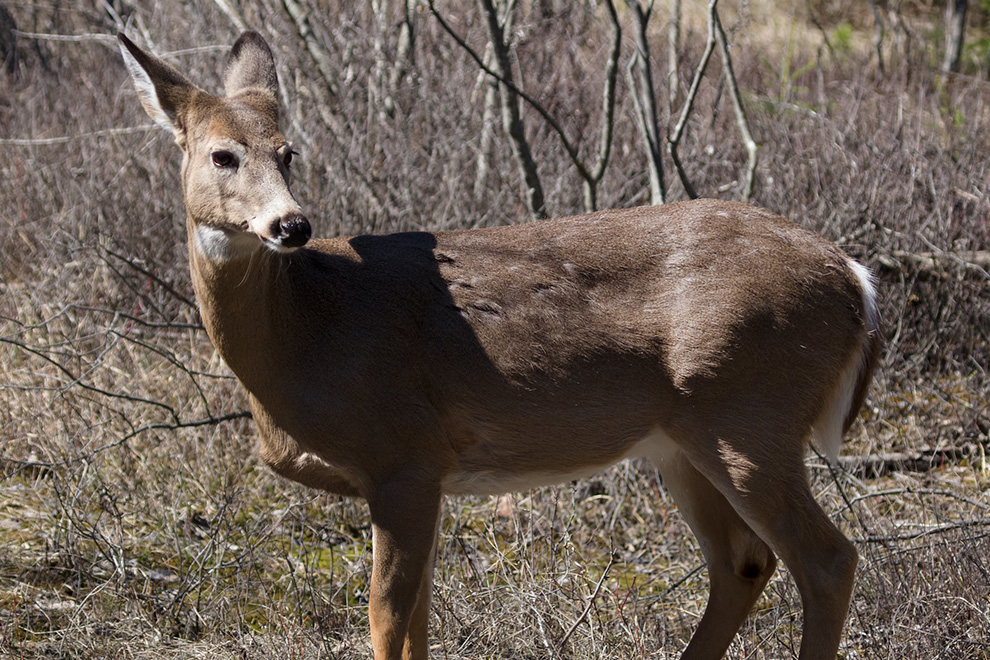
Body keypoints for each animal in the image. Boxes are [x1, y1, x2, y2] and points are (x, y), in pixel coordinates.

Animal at [118, 29, 884, 660]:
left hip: (748, 414)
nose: (291, 225)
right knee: (744, 562)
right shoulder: (420, 477)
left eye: (288, 152)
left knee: (827, 561)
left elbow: (386, 623)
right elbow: (416, 625)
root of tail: (854, 278)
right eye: (222, 155)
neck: (309, 333)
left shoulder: (404, 456)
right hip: (681, 440)